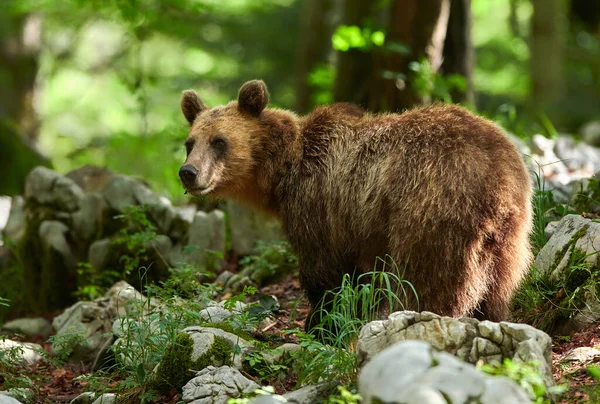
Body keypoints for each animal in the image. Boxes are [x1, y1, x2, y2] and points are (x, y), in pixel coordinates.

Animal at [179, 79, 536, 328]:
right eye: (190, 142)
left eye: (220, 141)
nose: (188, 173)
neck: (283, 172)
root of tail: (499, 178)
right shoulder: (358, 231)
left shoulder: (318, 206)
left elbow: (324, 274)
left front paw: (321, 325)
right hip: (510, 238)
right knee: (498, 288)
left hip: (433, 209)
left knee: (429, 282)